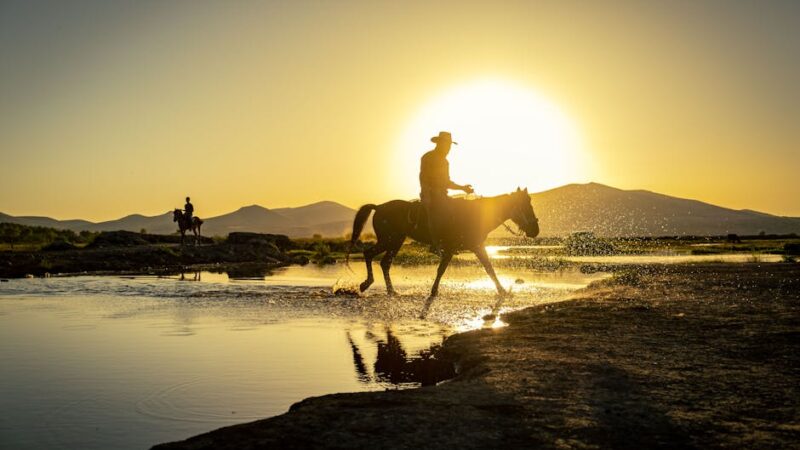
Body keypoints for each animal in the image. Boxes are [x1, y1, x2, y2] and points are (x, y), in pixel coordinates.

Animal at [346, 186, 540, 298]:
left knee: (384, 262)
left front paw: (502, 291)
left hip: (395, 241)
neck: (477, 215)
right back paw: (366, 284)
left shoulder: (477, 246)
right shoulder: (451, 248)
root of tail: (378, 207)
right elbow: (442, 270)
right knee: (370, 254)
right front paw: (433, 292)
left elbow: (489, 268)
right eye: (526, 205)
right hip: (390, 240)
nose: (535, 230)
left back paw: (391, 291)